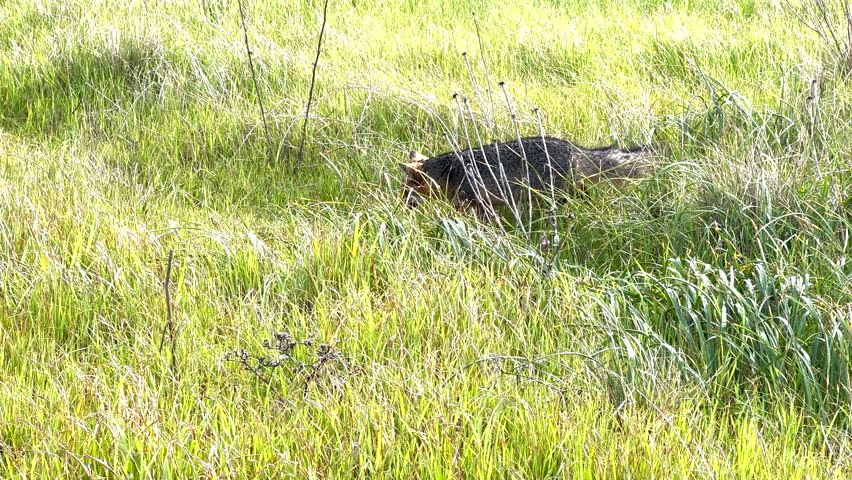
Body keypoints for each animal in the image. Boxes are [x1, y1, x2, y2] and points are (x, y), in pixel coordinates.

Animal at [399, 136, 656, 213]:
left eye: (406, 192)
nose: (399, 205)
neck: (450, 170)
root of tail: (572, 147)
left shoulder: (478, 204)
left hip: (560, 193)